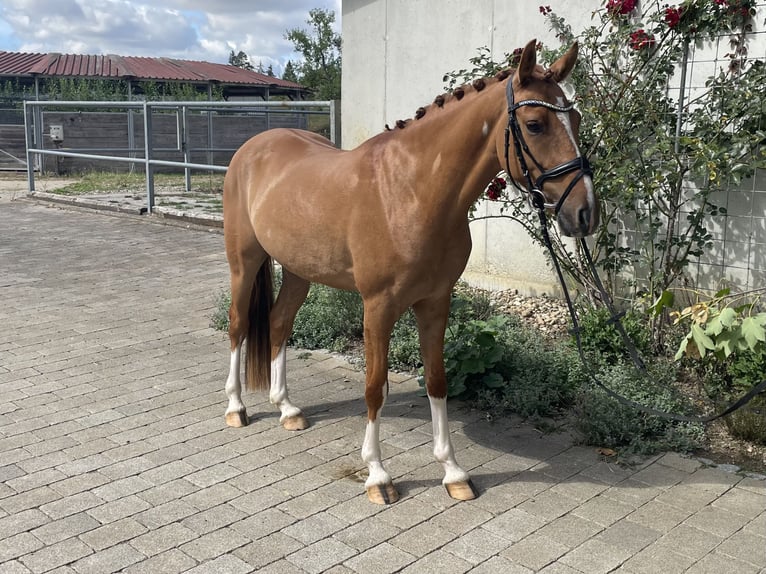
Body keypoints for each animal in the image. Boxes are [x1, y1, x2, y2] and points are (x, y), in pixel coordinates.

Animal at [221, 39, 599, 505]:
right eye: (534, 124)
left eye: (575, 119)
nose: (585, 212)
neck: (412, 192)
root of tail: (253, 146)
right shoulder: (378, 308)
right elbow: (375, 386)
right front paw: (378, 475)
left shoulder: (436, 302)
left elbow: (437, 380)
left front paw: (453, 472)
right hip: (244, 262)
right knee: (238, 325)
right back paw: (236, 408)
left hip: (298, 270)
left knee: (278, 323)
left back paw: (287, 408)